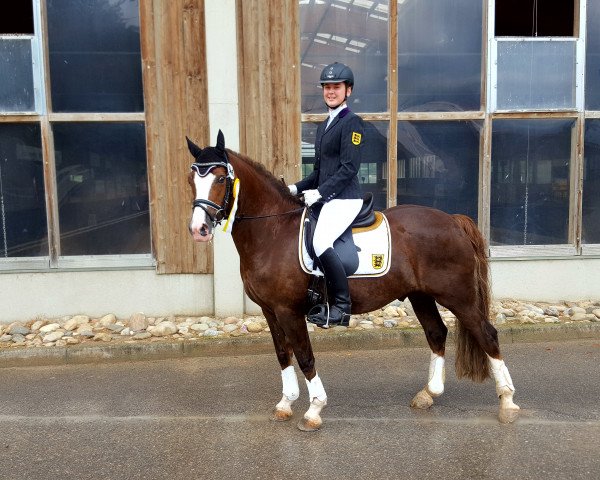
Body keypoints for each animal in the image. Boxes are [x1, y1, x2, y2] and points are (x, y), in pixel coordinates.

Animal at [188, 131, 520, 432]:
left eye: (221, 179)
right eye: (193, 179)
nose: (198, 229)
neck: (274, 231)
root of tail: (452, 220)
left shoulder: (288, 311)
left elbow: (305, 357)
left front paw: (314, 410)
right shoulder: (270, 311)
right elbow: (283, 354)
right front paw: (285, 405)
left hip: (458, 296)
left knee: (487, 335)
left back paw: (507, 403)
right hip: (421, 295)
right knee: (437, 334)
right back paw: (429, 394)